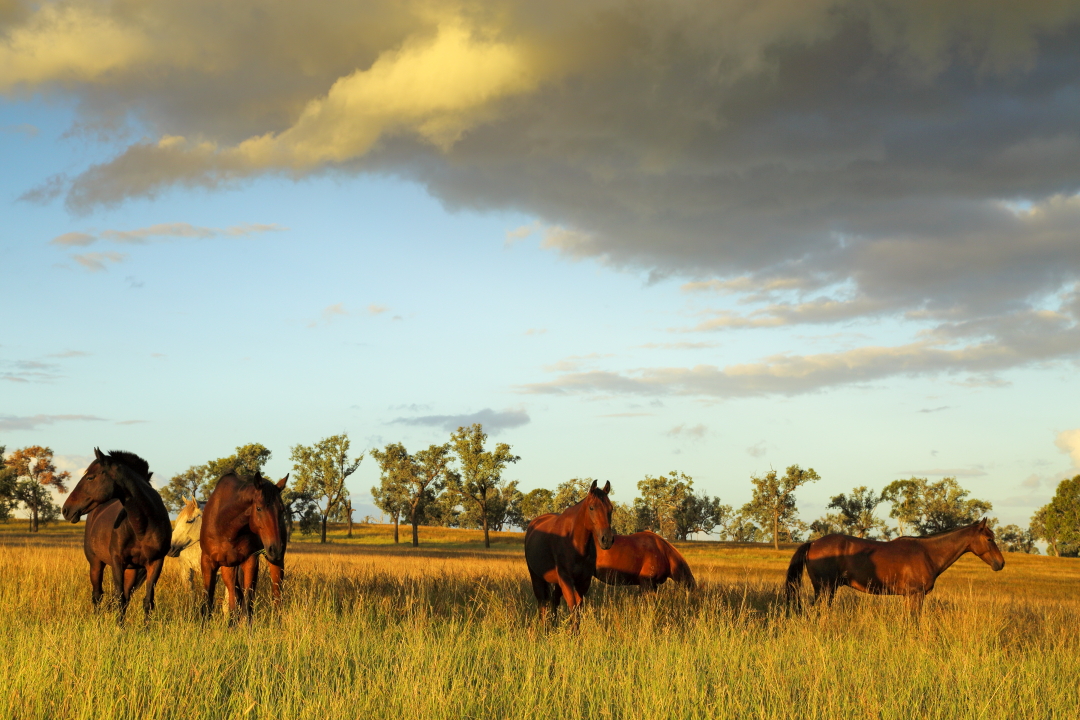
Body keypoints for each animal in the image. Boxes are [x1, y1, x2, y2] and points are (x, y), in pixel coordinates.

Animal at [61, 448, 172, 621]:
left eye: (90, 477)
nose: (66, 510)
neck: (144, 527)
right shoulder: (118, 562)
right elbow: (119, 599)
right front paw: (119, 627)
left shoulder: (156, 563)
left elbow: (147, 601)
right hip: (96, 563)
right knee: (98, 595)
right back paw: (97, 621)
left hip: (132, 570)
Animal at [199, 470, 288, 620]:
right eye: (258, 508)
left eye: (282, 510)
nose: (275, 549)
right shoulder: (208, 562)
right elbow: (208, 604)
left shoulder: (250, 560)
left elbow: (248, 605)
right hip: (228, 567)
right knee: (234, 598)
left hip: (275, 563)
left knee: (277, 597)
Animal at [524, 479, 614, 624]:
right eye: (591, 507)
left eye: (611, 508)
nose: (607, 539)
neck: (574, 543)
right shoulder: (566, 580)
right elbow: (573, 610)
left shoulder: (583, 582)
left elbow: (577, 611)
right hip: (536, 577)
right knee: (542, 604)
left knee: (553, 601)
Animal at [785, 518, 1005, 614]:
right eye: (989, 538)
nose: (1000, 563)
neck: (927, 553)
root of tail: (813, 543)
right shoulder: (916, 595)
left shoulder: (909, 596)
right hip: (825, 589)